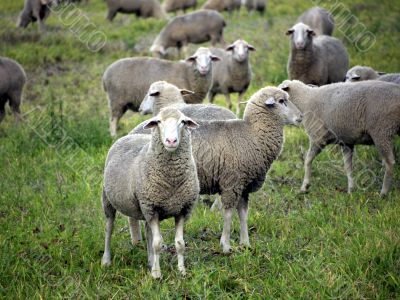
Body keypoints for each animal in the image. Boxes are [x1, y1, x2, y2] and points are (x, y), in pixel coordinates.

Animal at [131, 86, 304, 253]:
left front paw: (245, 244)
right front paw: (226, 246)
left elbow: (243, 214)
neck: (253, 134)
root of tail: (134, 130)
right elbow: (228, 214)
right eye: (281, 101)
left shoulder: (244, 186)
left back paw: (139, 242)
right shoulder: (231, 183)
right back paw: (137, 242)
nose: (301, 116)